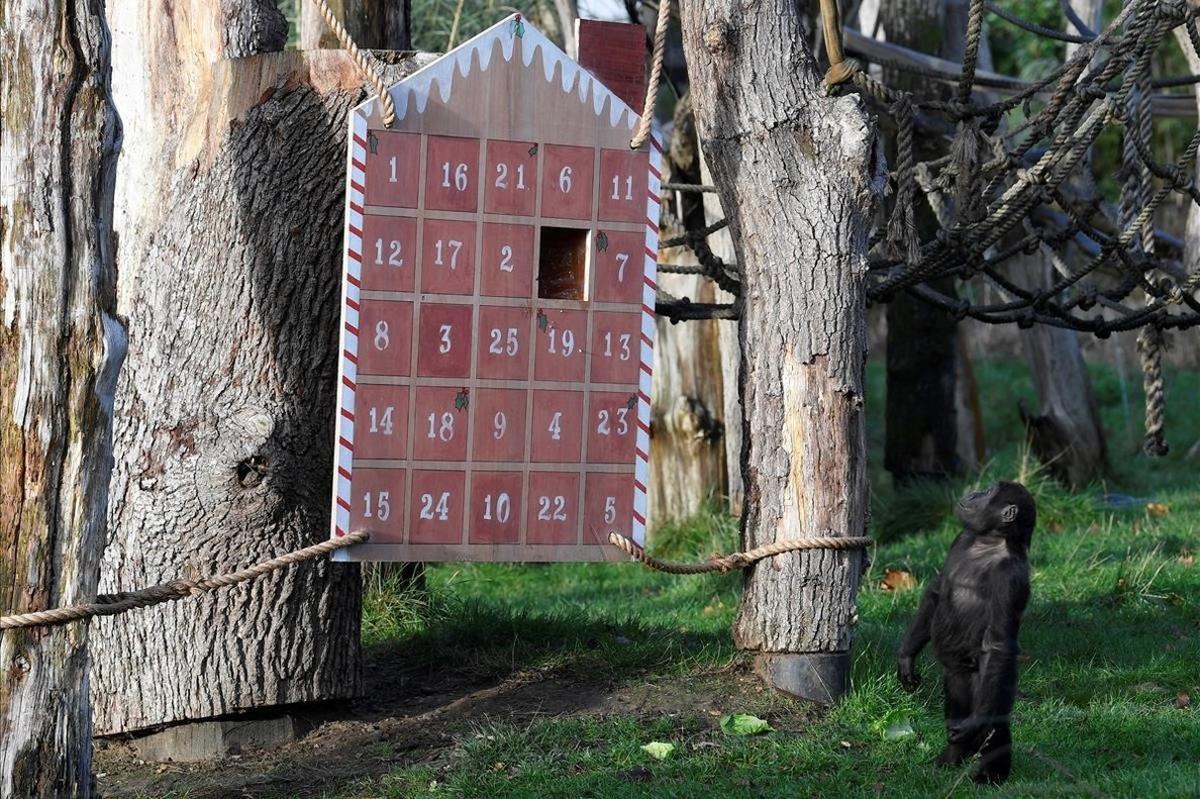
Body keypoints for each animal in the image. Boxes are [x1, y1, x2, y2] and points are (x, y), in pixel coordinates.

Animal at [897, 475, 1036, 782]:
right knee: (957, 697)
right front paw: (906, 657)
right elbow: (937, 591)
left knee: (995, 719)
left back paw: (990, 776)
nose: (974, 492)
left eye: (989, 492)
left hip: (990, 676)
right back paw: (952, 756)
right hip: (959, 672)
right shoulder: (960, 538)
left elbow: (999, 640)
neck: (990, 540)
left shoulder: (1011, 578)